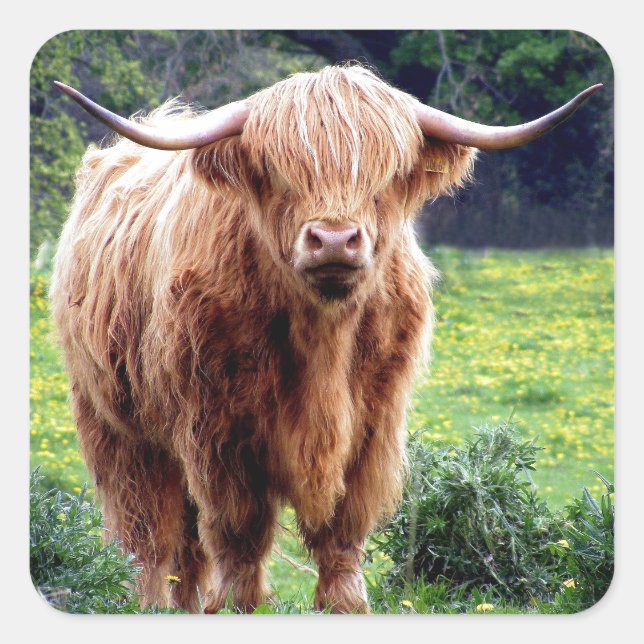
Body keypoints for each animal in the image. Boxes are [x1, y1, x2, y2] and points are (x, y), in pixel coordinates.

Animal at [50, 64, 600, 613]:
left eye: (385, 176)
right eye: (278, 172)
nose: (334, 240)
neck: (323, 341)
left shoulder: (373, 423)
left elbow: (344, 522)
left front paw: (346, 602)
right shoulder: (217, 427)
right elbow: (238, 524)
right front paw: (237, 603)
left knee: (183, 541)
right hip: (115, 423)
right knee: (144, 526)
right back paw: (144, 600)